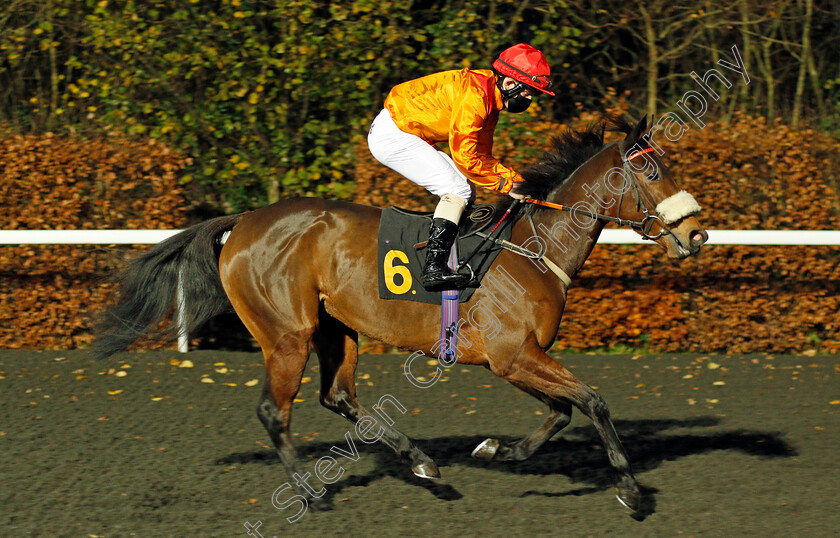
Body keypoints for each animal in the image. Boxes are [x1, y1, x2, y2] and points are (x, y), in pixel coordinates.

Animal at [93, 115, 708, 512]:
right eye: (653, 172)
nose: (696, 234)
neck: (534, 248)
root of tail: (244, 220)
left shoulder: (514, 359)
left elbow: (561, 411)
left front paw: (500, 450)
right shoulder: (512, 356)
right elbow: (591, 401)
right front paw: (630, 489)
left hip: (337, 329)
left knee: (339, 396)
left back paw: (420, 461)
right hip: (288, 332)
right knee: (275, 410)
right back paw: (310, 493)